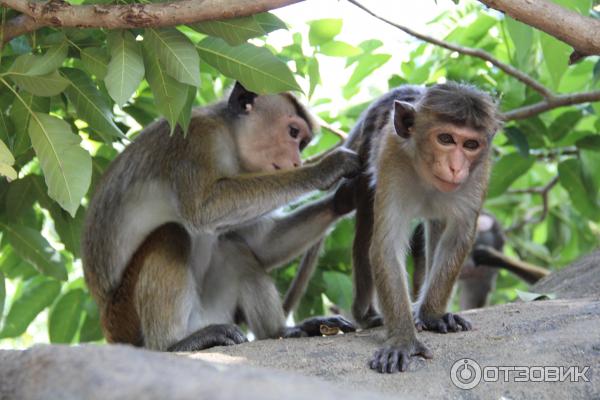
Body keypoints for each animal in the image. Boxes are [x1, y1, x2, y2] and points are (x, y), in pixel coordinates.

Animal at [81, 83, 360, 352]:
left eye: (302, 143)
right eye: (293, 132)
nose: (296, 162)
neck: (229, 135)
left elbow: (262, 243)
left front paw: (343, 200)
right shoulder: (197, 137)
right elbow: (203, 208)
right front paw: (324, 169)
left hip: (208, 311)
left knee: (234, 246)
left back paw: (280, 332)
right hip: (125, 319)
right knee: (170, 233)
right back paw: (172, 344)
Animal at [338, 83, 502, 374]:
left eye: (471, 144)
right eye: (446, 139)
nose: (456, 167)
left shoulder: (479, 171)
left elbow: (458, 236)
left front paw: (433, 315)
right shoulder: (391, 158)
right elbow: (386, 245)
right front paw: (403, 339)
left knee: (437, 227)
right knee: (366, 224)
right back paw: (365, 314)